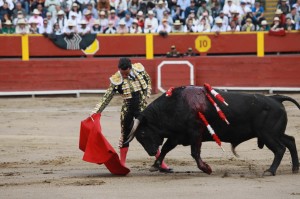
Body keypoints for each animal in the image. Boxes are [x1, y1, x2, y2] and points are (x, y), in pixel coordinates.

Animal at [125, 85, 300, 176]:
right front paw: (155, 165)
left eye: (142, 133)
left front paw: (206, 168)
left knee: (280, 148)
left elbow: (195, 153)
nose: (150, 151)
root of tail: (276, 98)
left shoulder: (195, 132)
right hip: (274, 133)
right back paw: (295, 168)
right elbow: (166, 149)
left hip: (268, 134)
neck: (173, 105)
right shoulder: (177, 135)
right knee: (290, 141)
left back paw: (270, 171)